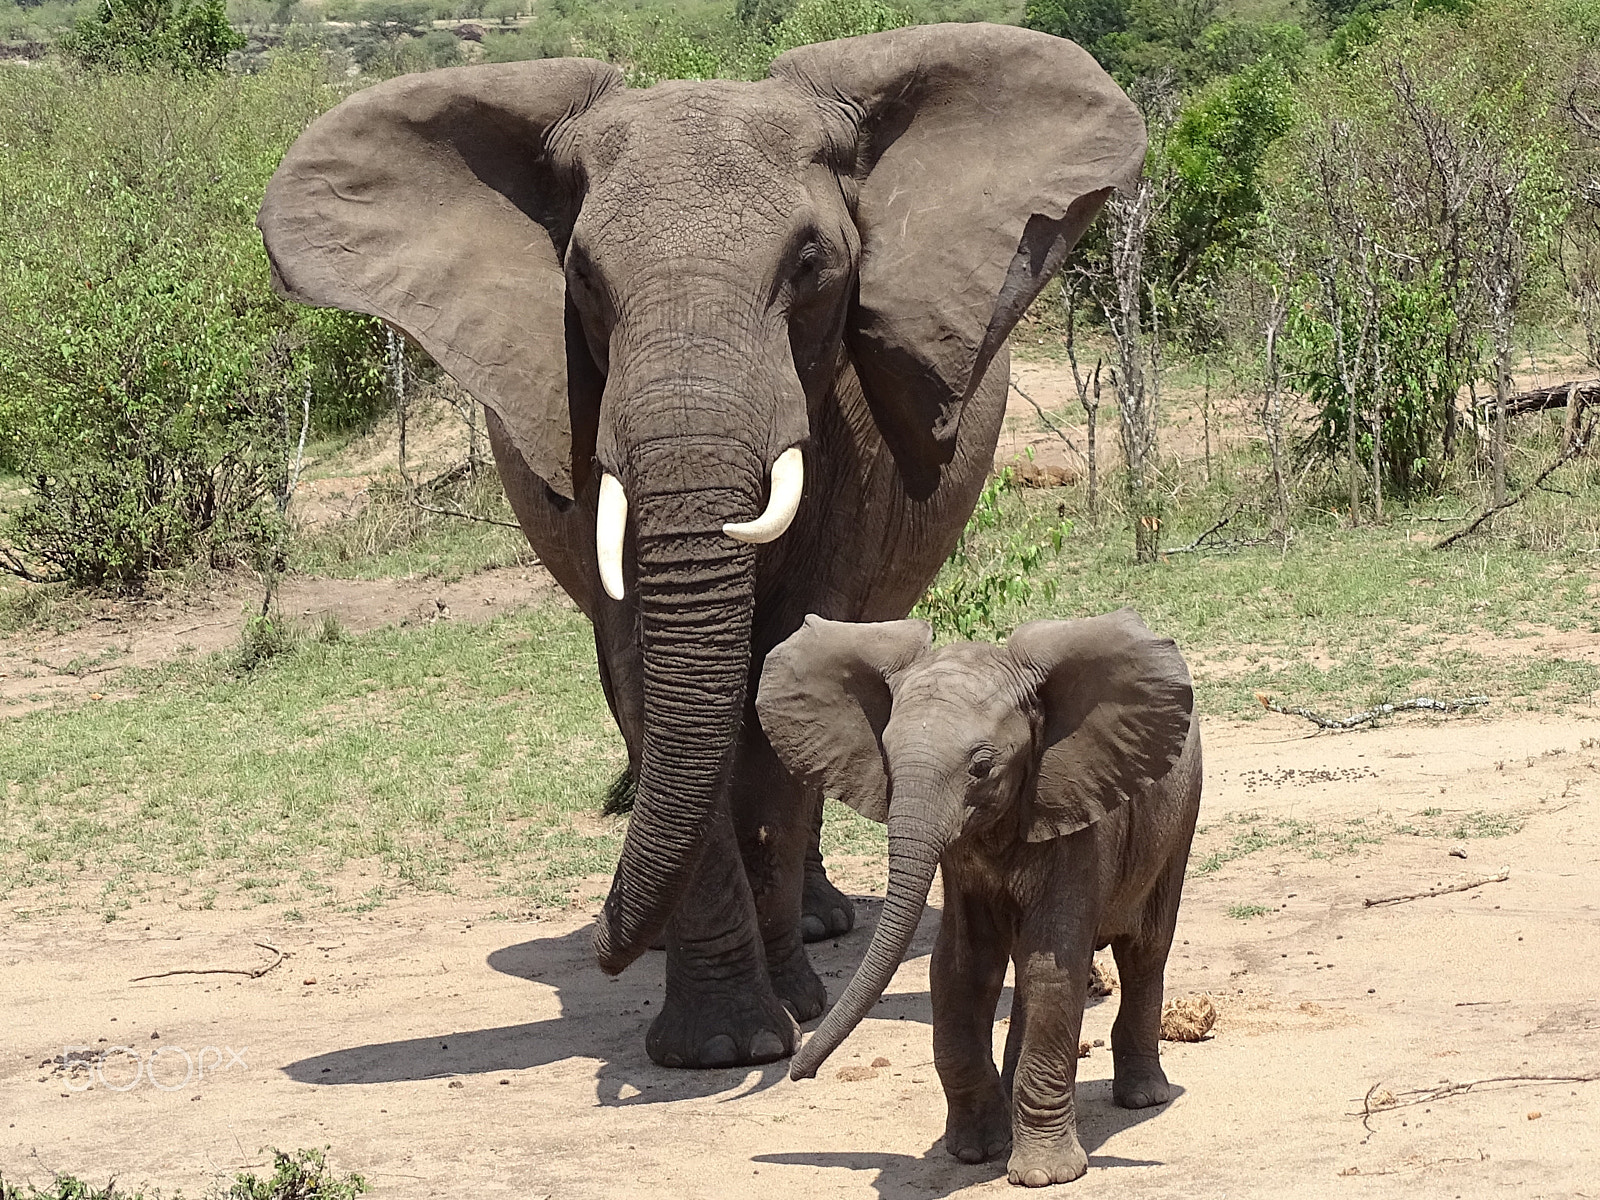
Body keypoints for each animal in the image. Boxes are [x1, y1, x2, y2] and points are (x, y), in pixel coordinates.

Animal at [256, 21, 1145, 1068]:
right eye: (584, 281)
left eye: (811, 264)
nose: (604, 945)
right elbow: (649, 673)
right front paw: (724, 1045)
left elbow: (785, 670)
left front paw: (787, 1006)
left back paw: (816, 929)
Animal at [758, 614, 1203, 1190]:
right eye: (887, 760)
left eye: (981, 768)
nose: (798, 1071)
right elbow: (959, 968)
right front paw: (975, 1152)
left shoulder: (1075, 815)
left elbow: (1051, 967)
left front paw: (1043, 1176)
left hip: (1179, 818)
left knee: (1144, 950)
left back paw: (1144, 1097)